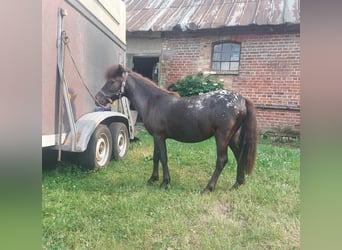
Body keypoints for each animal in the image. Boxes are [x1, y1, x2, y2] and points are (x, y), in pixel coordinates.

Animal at [94, 64, 256, 191]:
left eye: (112, 81)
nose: (97, 99)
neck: (152, 102)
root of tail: (241, 99)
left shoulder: (160, 136)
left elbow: (163, 158)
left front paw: (165, 183)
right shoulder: (156, 137)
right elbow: (156, 157)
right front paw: (152, 179)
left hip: (222, 137)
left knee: (222, 160)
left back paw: (208, 188)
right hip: (232, 137)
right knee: (239, 156)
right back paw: (238, 184)